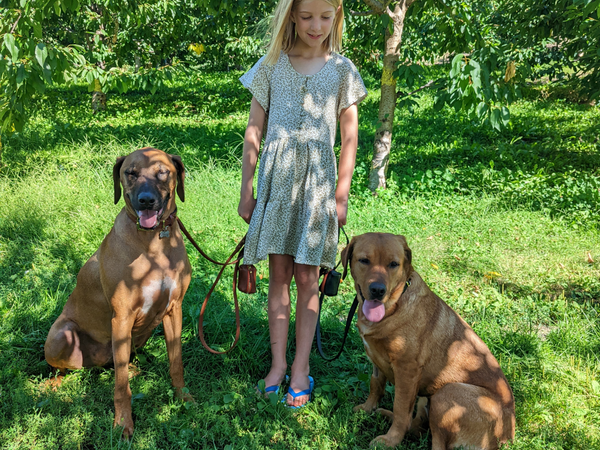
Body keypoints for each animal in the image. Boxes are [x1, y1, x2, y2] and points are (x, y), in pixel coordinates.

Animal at [44, 148, 192, 436]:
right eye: (130, 173)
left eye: (162, 172)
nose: (146, 201)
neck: (153, 241)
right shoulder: (122, 317)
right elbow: (121, 386)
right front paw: (123, 423)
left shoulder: (173, 310)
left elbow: (177, 362)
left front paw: (183, 397)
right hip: (61, 334)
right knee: (66, 369)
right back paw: (53, 386)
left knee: (115, 364)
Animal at [342, 232, 516, 450]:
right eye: (364, 260)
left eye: (393, 264)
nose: (378, 290)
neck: (394, 306)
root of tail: (507, 436)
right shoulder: (376, 359)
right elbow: (376, 386)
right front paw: (368, 409)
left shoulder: (407, 370)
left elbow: (400, 408)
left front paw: (391, 440)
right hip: (425, 400)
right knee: (416, 427)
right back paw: (383, 414)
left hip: (446, 393)